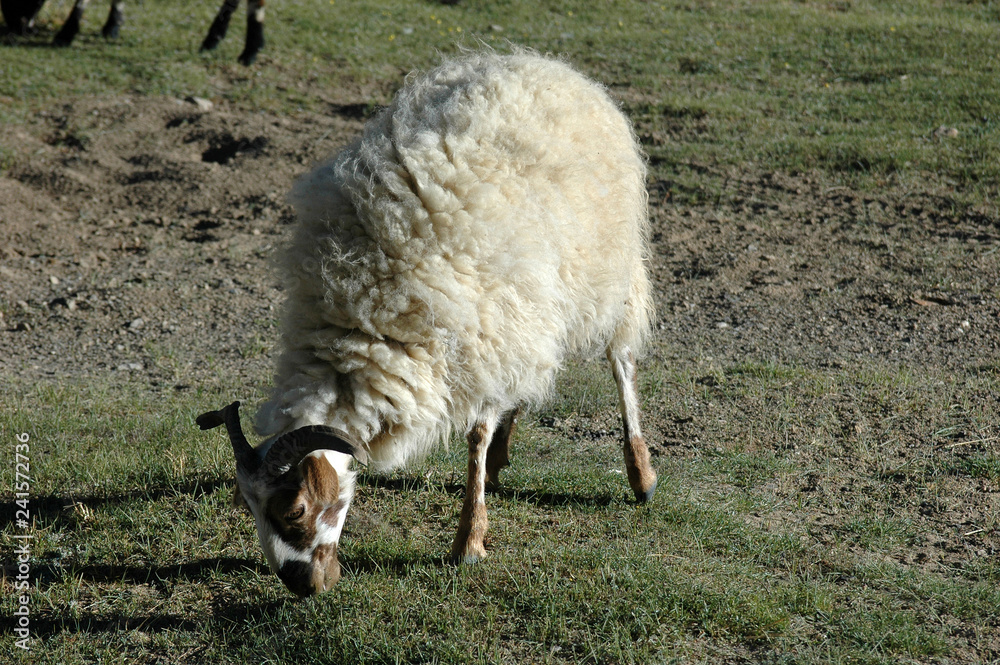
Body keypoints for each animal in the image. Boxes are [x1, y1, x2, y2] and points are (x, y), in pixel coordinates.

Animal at [198, 49, 658, 597]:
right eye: (249, 509)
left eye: (296, 510)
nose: (302, 584)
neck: (364, 320)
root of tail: (538, 62)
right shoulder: (491, 332)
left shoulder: (480, 333)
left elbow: (475, 435)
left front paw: (469, 541)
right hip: (530, 309)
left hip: (609, 268)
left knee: (621, 360)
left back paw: (640, 473)